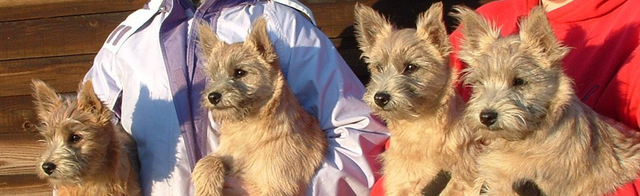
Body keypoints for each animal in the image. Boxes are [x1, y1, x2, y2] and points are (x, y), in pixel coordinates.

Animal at [191, 17, 328, 196]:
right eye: (213, 76)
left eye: (240, 72)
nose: (212, 97)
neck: (248, 127)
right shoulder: (225, 153)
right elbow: (207, 160)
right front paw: (207, 189)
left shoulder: (278, 186)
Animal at [356, 2, 480, 195]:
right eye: (378, 67)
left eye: (411, 67)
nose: (380, 97)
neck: (418, 128)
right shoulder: (400, 183)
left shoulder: (465, 174)